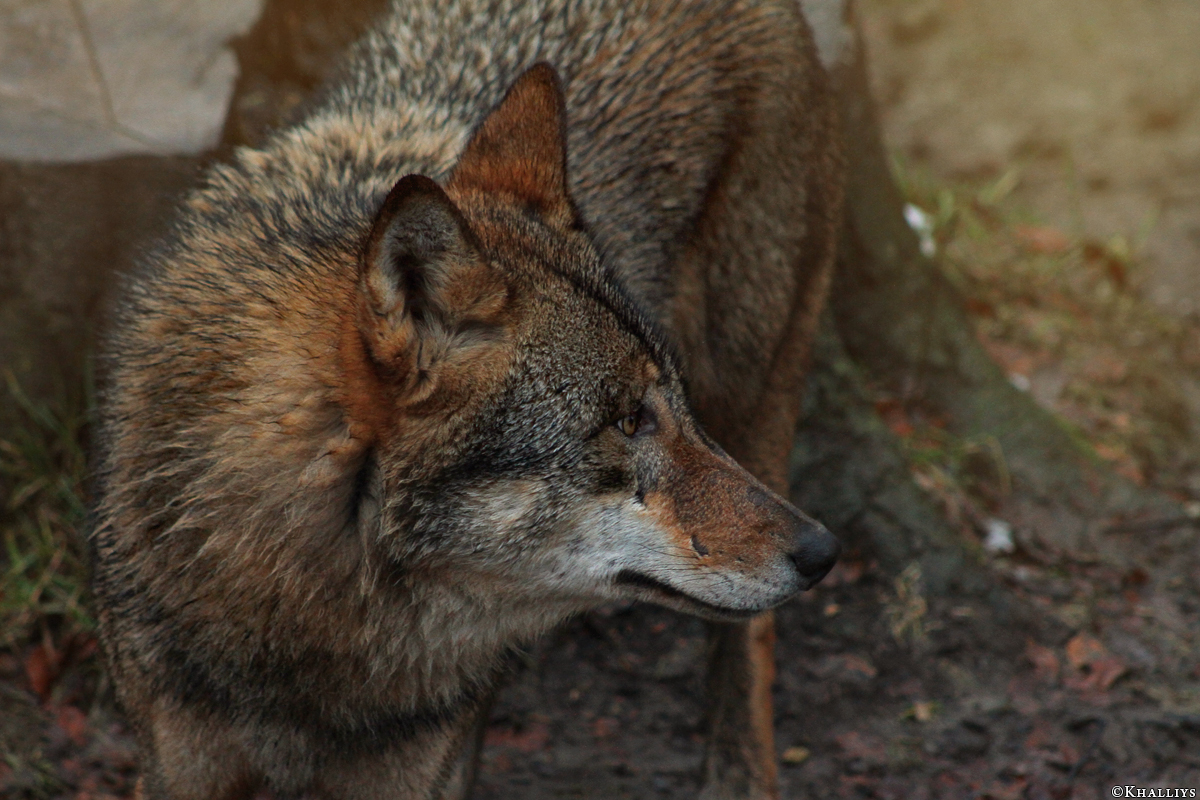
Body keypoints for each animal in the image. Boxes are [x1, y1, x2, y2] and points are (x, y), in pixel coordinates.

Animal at [89, 0, 845, 798]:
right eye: (628, 420)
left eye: (669, 407)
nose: (822, 551)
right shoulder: (175, 765)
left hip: (757, 394)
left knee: (751, 647)